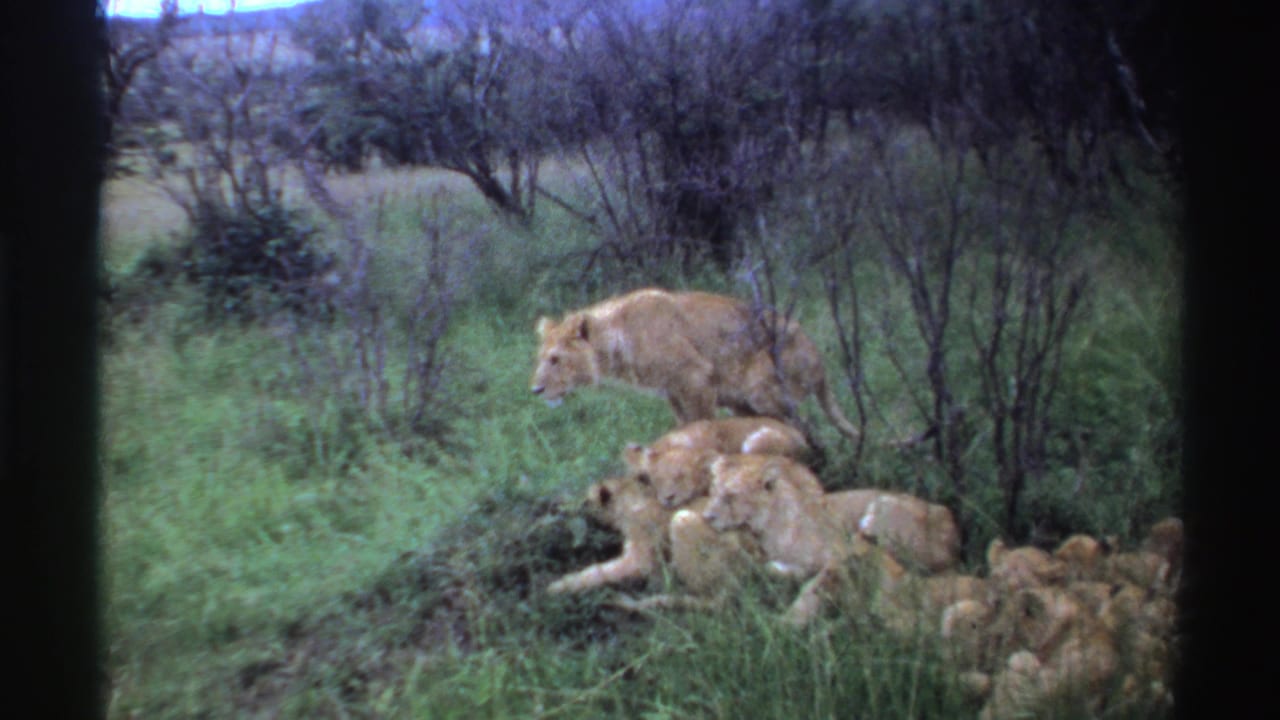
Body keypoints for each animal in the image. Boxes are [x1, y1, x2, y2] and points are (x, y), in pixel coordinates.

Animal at [530, 288, 860, 441]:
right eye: (541, 359)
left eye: (556, 360)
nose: (536, 390)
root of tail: (818, 358)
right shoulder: (674, 392)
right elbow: (685, 426)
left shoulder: (696, 378)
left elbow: (703, 426)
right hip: (741, 403)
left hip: (762, 389)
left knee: (804, 425)